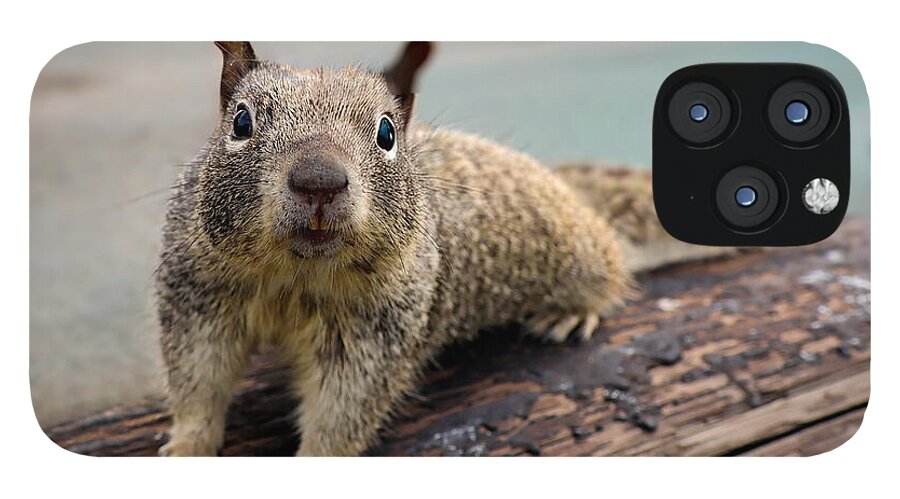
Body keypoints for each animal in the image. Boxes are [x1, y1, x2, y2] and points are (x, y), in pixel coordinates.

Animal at [157, 41, 728, 456]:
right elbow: (197, 383)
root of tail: (567, 188)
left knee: (608, 265)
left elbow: (342, 411)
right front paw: (186, 448)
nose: (319, 181)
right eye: (241, 122)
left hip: (579, 252)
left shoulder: (375, 333)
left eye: (387, 132)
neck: (296, 277)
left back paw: (571, 311)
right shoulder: (198, 298)